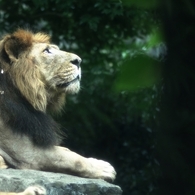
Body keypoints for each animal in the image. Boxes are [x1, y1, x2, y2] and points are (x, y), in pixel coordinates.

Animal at [0, 29, 116, 195]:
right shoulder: (24, 151)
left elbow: (67, 150)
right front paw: (104, 168)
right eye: (47, 51)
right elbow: (71, 159)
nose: (79, 61)